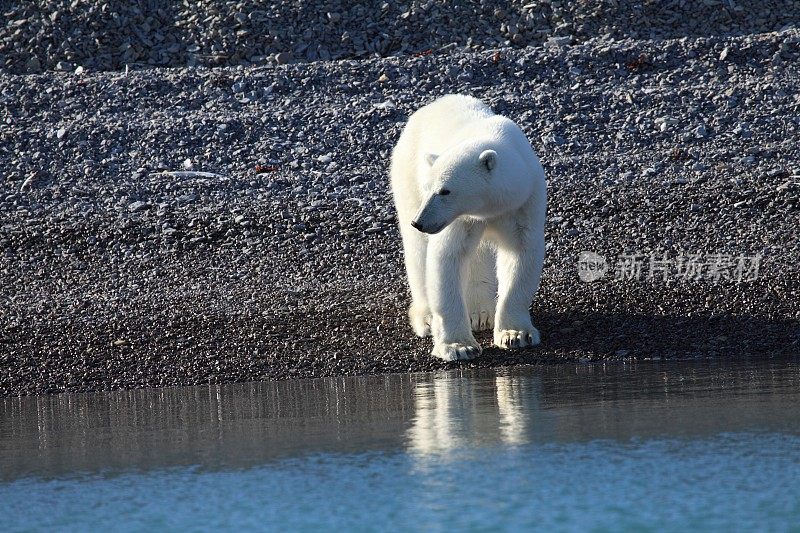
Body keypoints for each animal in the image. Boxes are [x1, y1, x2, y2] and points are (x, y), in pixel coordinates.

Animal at [390, 94, 548, 362]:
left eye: (445, 190)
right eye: (429, 187)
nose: (420, 222)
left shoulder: (524, 202)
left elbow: (520, 254)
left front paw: (515, 335)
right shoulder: (460, 218)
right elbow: (447, 257)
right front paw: (458, 346)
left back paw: (480, 313)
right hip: (406, 176)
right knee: (417, 251)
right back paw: (427, 318)